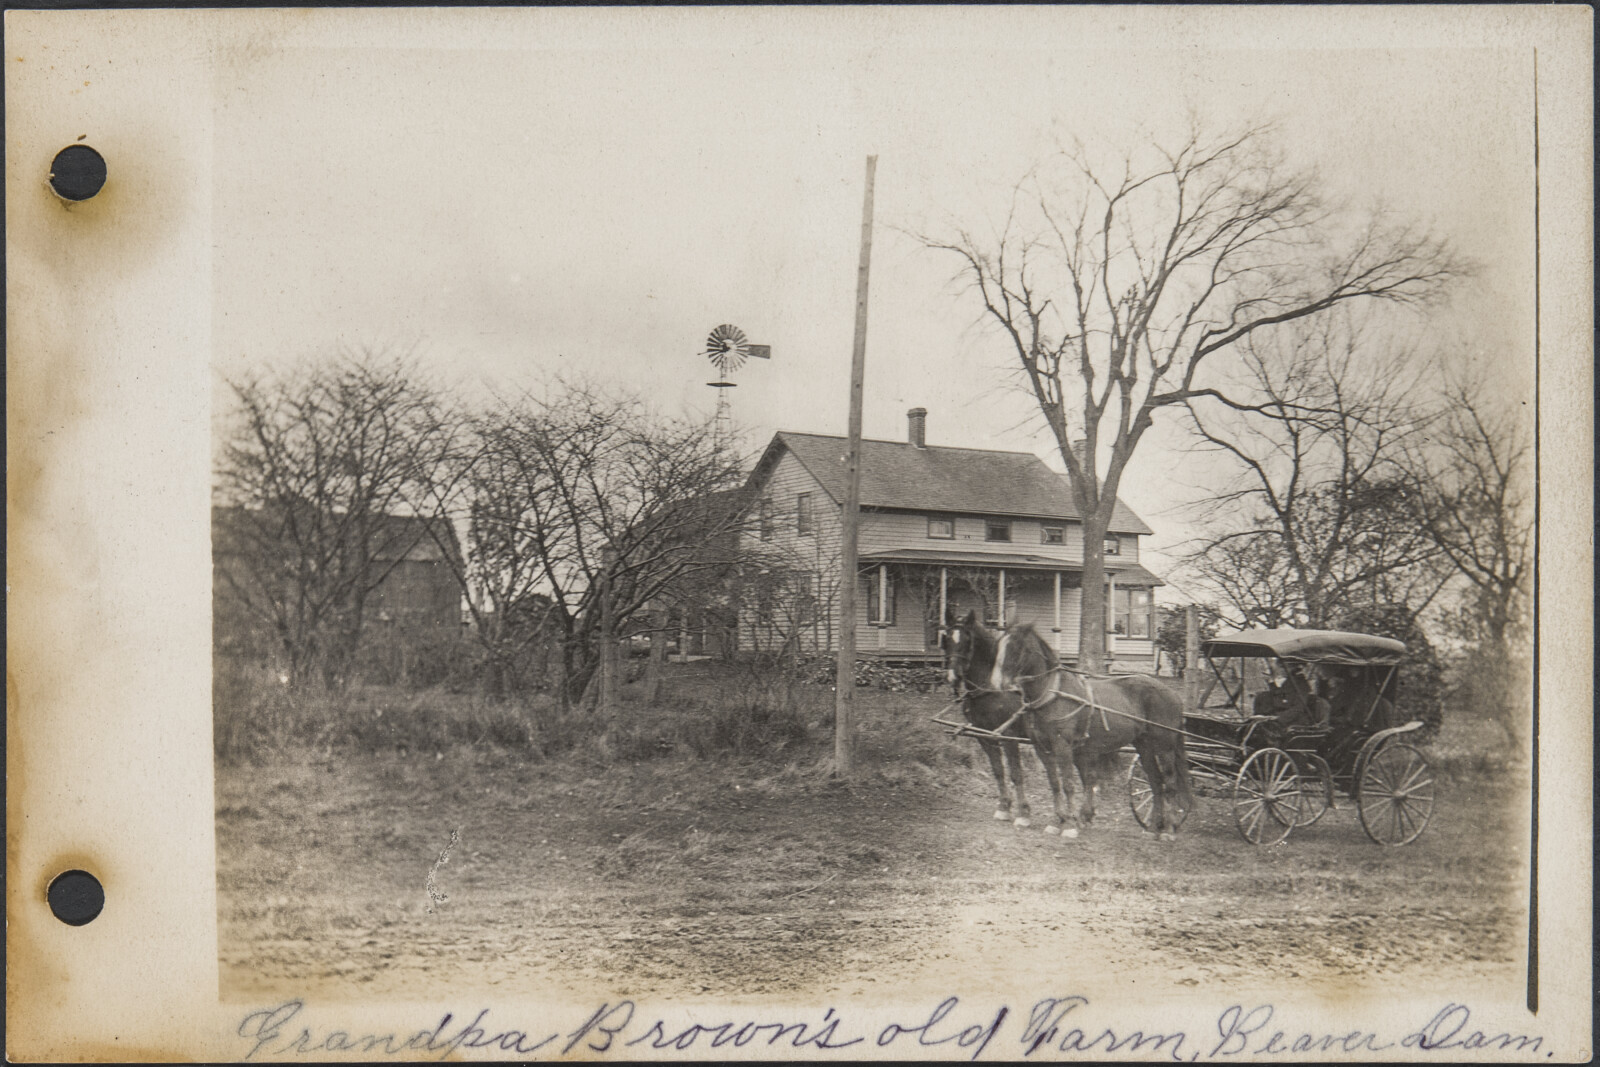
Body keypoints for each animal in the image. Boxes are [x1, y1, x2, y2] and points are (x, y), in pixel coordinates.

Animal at [934, 607, 1075, 831]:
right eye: (946, 638)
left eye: (967, 639)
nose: (952, 677)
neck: (992, 689)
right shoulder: (984, 736)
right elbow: (998, 771)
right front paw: (1003, 807)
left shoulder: (1009, 736)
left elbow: (1016, 773)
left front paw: (1023, 813)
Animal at [992, 620, 1196, 838]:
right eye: (999, 645)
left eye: (1016, 647)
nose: (998, 684)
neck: (1052, 694)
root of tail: (1174, 696)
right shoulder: (1043, 748)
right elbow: (1055, 783)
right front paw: (1060, 820)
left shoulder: (1063, 746)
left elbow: (1068, 784)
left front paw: (1069, 824)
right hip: (1145, 747)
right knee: (1156, 782)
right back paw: (1152, 828)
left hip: (1165, 747)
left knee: (1170, 783)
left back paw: (1169, 828)